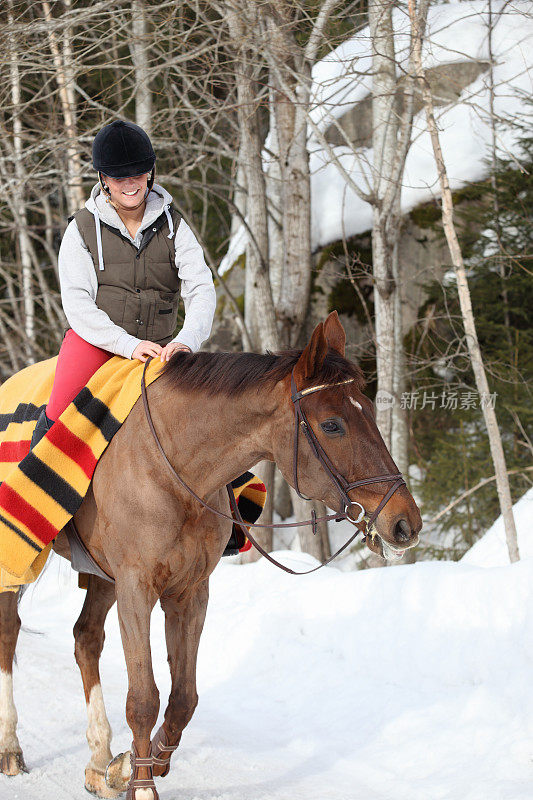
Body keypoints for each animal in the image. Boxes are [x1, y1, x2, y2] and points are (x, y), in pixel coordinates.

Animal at [0, 310, 422, 796]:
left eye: (369, 411)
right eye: (332, 424)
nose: (405, 522)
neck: (171, 469)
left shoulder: (189, 592)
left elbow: (184, 697)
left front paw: (134, 765)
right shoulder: (136, 588)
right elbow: (144, 696)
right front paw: (141, 783)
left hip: (103, 576)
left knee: (86, 638)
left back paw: (99, 757)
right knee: (9, 631)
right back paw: (11, 746)